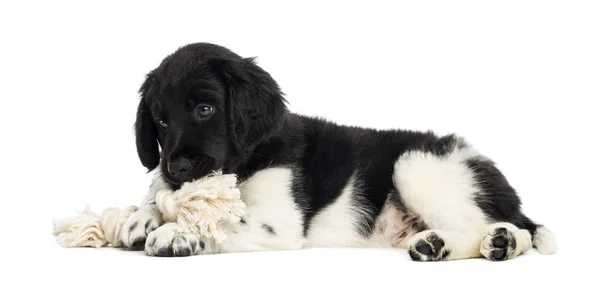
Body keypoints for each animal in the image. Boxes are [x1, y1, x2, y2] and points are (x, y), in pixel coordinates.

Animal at [118, 43, 556, 262]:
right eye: (160, 122)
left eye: (205, 110)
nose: (175, 168)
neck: (248, 161)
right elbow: (162, 202)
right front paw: (142, 216)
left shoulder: (277, 220)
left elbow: (221, 221)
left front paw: (177, 232)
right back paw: (450, 245)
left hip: (417, 165)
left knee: (505, 226)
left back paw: (497, 243)